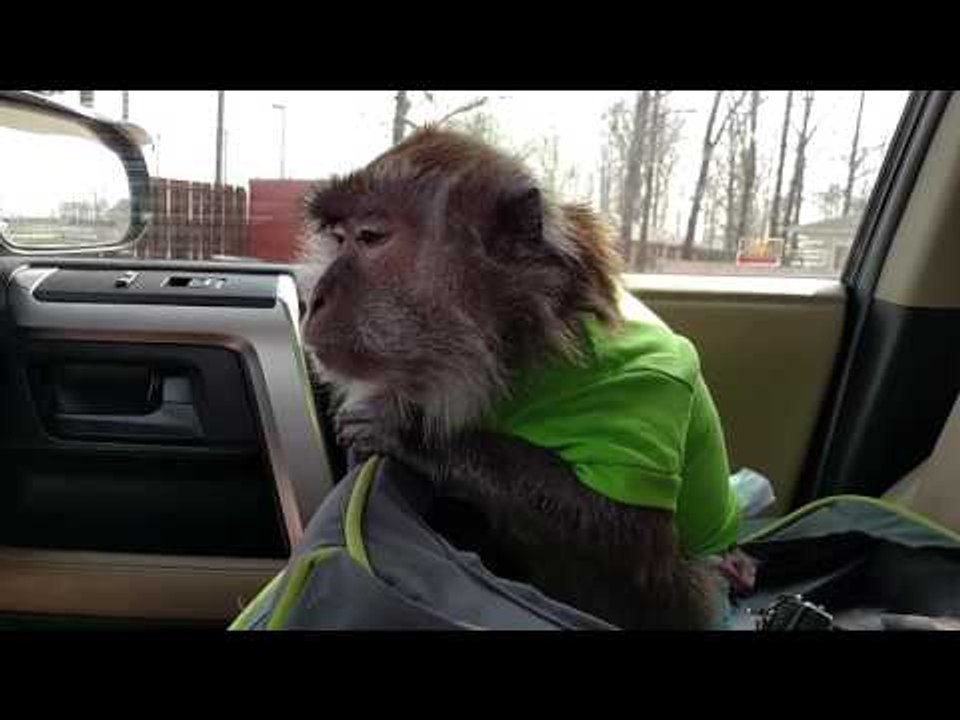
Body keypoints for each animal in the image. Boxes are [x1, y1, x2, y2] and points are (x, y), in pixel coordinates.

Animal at [298, 127, 750, 630]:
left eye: (371, 237)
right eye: (339, 238)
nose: (313, 299)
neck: (520, 349)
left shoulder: (646, 392)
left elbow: (631, 539)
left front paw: (415, 435)